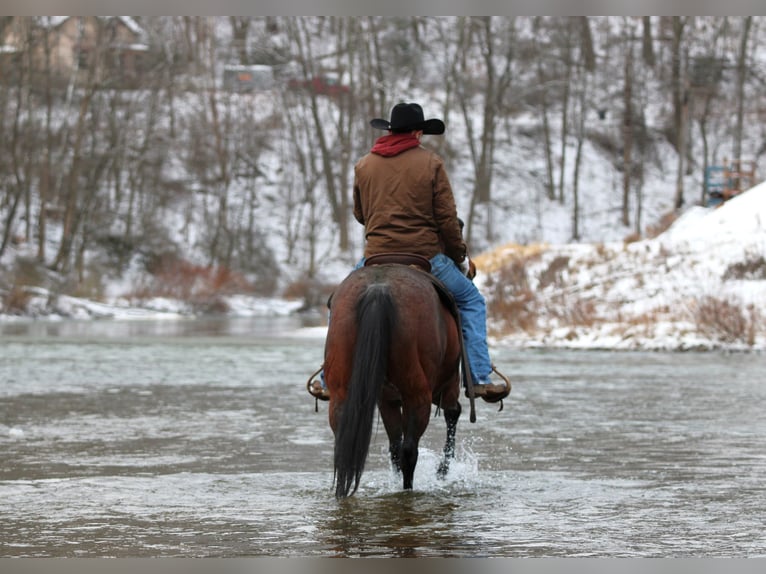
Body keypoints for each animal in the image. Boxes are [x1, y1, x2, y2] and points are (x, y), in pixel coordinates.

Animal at [323, 261, 473, 498]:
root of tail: (378, 290)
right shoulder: (447, 383)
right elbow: (452, 413)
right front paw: (442, 471)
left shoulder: (387, 399)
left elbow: (393, 445)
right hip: (418, 393)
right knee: (410, 450)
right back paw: (408, 490)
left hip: (342, 392)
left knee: (345, 446)